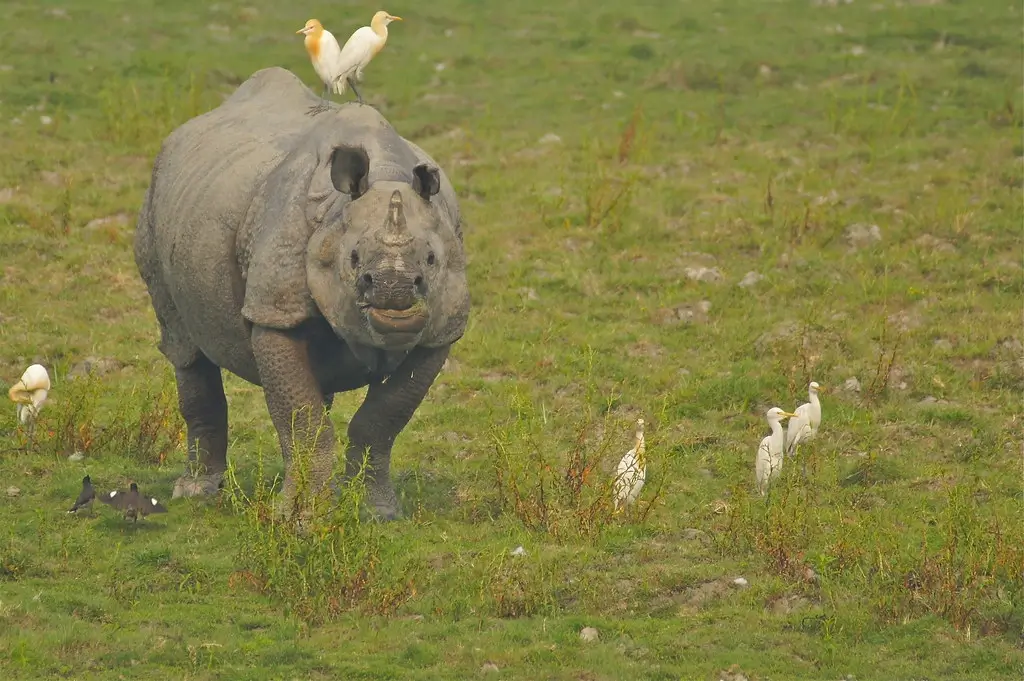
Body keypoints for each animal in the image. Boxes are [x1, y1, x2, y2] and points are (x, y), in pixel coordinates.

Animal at [133, 67, 470, 520]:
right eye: (354, 260)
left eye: (432, 259)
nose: (394, 291)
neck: (387, 173)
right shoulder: (274, 310)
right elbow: (302, 418)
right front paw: (299, 518)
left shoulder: (441, 330)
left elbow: (381, 420)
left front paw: (377, 513)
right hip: (154, 208)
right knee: (183, 346)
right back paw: (196, 493)